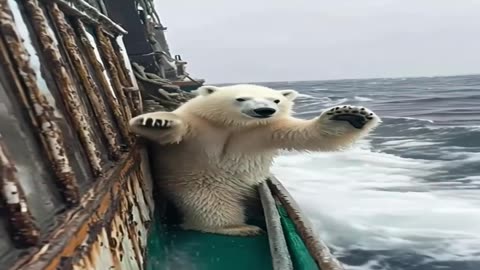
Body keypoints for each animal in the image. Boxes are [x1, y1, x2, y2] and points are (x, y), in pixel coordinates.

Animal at [129, 84, 380, 236]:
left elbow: (309, 134)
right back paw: (240, 228)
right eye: (241, 98)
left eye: (276, 100)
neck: (236, 127)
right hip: (201, 187)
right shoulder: (200, 128)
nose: (264, 110)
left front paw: (349, 116)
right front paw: (156, 121)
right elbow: (173, 133)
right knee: (214, 209)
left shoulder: (266, 131)